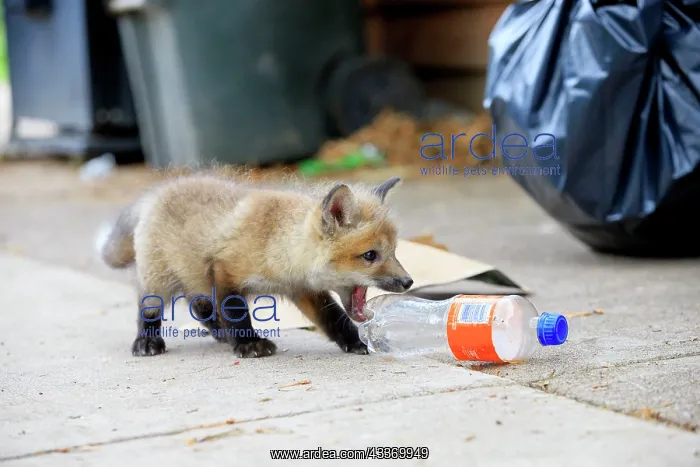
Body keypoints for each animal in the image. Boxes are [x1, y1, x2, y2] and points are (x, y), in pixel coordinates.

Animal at [96, 173, 413, 358]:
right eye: (370, 255)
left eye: (394, 252)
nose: (408, 282)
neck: (275, 243)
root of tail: (157, 193)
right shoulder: (225, 270)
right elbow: (237, 312)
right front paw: (249, 344)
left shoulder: (303, 289)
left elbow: (334, 319)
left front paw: (355, 342)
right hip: (159, 281)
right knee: (149, 308)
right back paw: (147, 341)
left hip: (195, 276)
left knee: (199, 304)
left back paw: (220, 333)